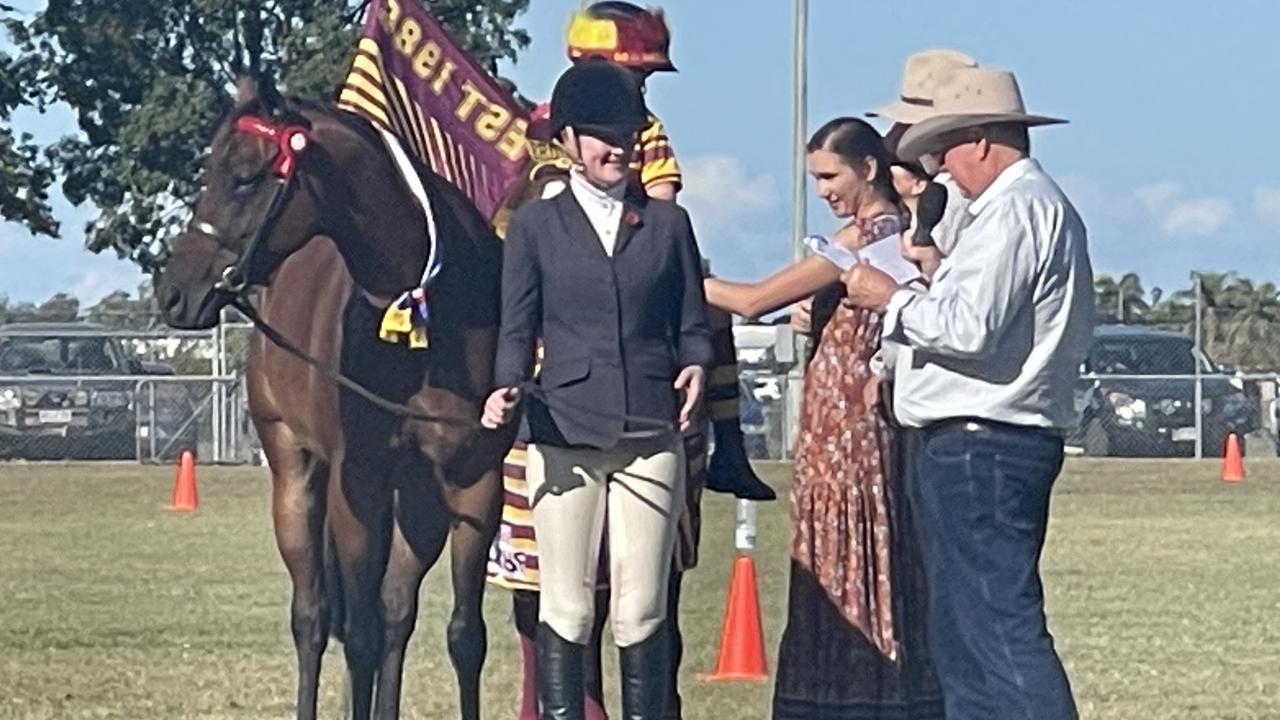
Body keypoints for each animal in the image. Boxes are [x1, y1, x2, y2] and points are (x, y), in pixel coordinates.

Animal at [157, 78, 517, 717]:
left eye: (244, 176)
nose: (174, 291)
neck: (425, 315)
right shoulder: (358, 487)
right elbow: (359, 635)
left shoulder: (473, 484)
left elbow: (462, 636)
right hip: (297, 477)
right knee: (315, 618)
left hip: (417, 498)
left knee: (395, 613)